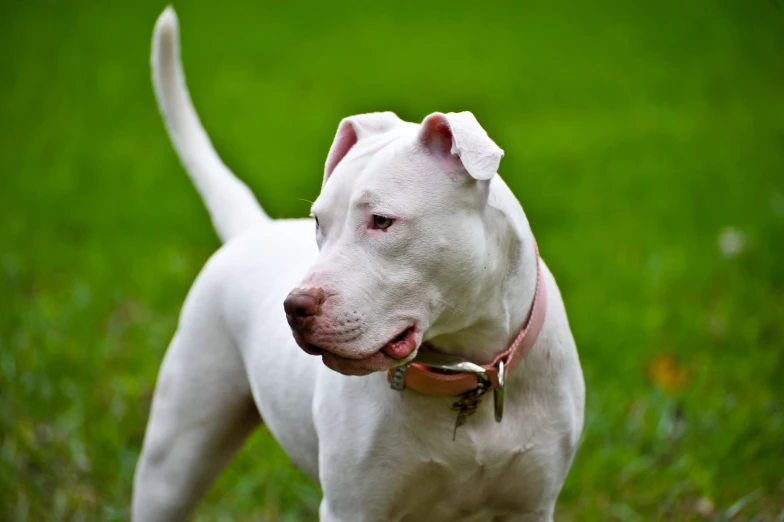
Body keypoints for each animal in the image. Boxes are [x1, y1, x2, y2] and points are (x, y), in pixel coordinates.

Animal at [132, 8, 584, 520]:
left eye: (382, 221)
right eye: (318, 222)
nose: (295, 308)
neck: (466, 373)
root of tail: (252, 228)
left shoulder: (530, 506)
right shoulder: (354, 507)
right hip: (174, 457)